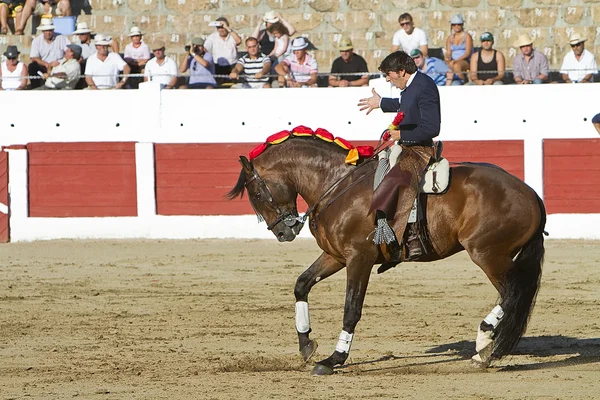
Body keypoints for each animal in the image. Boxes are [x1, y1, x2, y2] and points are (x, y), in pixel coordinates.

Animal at [227, 134, 548, 376]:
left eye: (256, 194)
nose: (283, 232)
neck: (338, 184)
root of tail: (532, 194)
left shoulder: (359, 258)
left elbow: (351, 308)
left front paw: (333, 360)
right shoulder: (336, 256)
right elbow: (302, 284)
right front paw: (306, 344)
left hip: (487, 254)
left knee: (512, 294)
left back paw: (483, 344)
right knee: (513, 295)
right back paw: (484, 350)